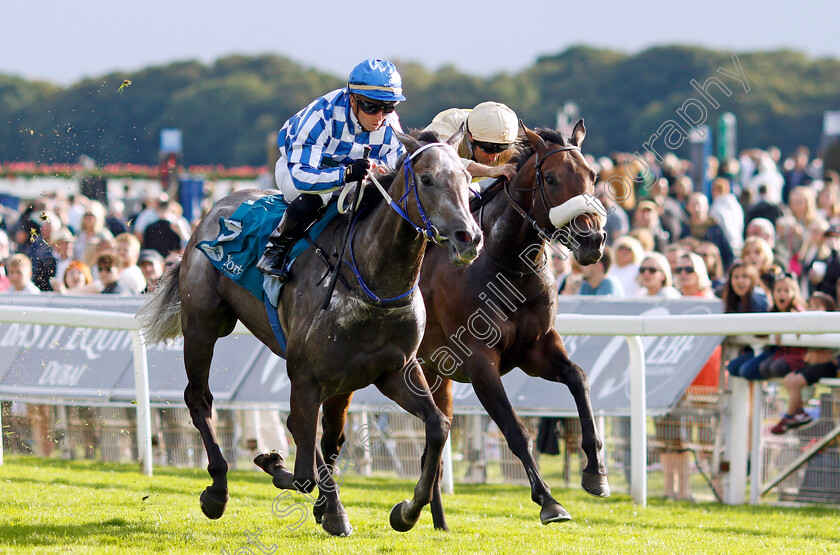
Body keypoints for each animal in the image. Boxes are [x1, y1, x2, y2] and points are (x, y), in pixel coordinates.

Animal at [136, 130, 480, 540]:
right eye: (427, 179)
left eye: (468, 177)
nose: (469, 237)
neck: (371, 280)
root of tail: (215, 208)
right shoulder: (306, 375)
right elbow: (302, 474)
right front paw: (274, 463)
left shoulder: (393, 371)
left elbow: (437, 426)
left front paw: (405, 511)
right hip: (204, 324)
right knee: (199, 399)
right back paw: (217, 491)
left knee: (323, 436)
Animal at [318, 121, 608, 528]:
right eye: (551, 179)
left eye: (592, 175)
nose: (592, 239)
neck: (507, 266)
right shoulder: (479, 360)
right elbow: (516, 431)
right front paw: (549, 501)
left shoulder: (538, 348)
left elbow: (578, 378)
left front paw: (596, 473)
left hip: (432, 373)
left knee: (433, 442)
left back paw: (431, 516)